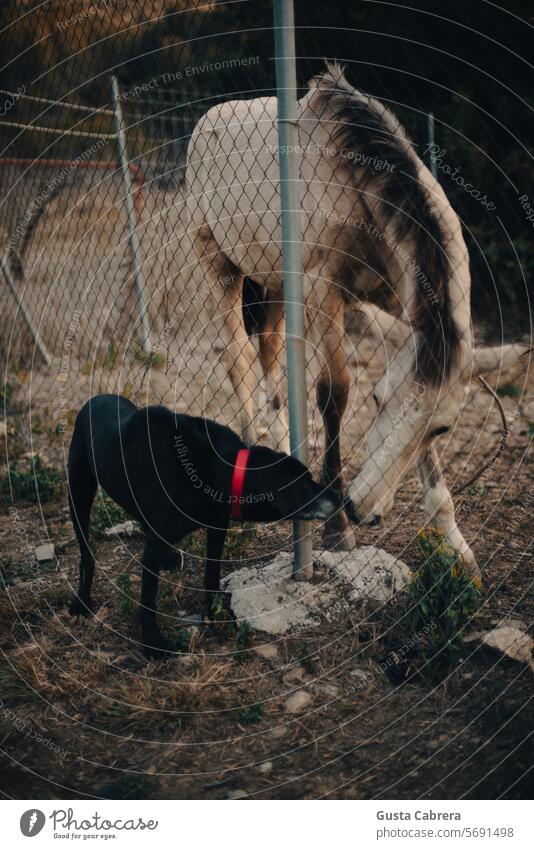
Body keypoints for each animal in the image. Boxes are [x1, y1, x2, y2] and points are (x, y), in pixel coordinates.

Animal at [67, 394, 340, 660]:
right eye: (306, 484)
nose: (339, 497)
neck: (222, 469)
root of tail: (93, 399)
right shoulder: (155, 542)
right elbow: (148, 596)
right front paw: (153, 642)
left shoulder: (217, 526)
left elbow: (211, 574)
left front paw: (214, 613)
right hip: (79, 491)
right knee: (86, 552)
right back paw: (81, 601)